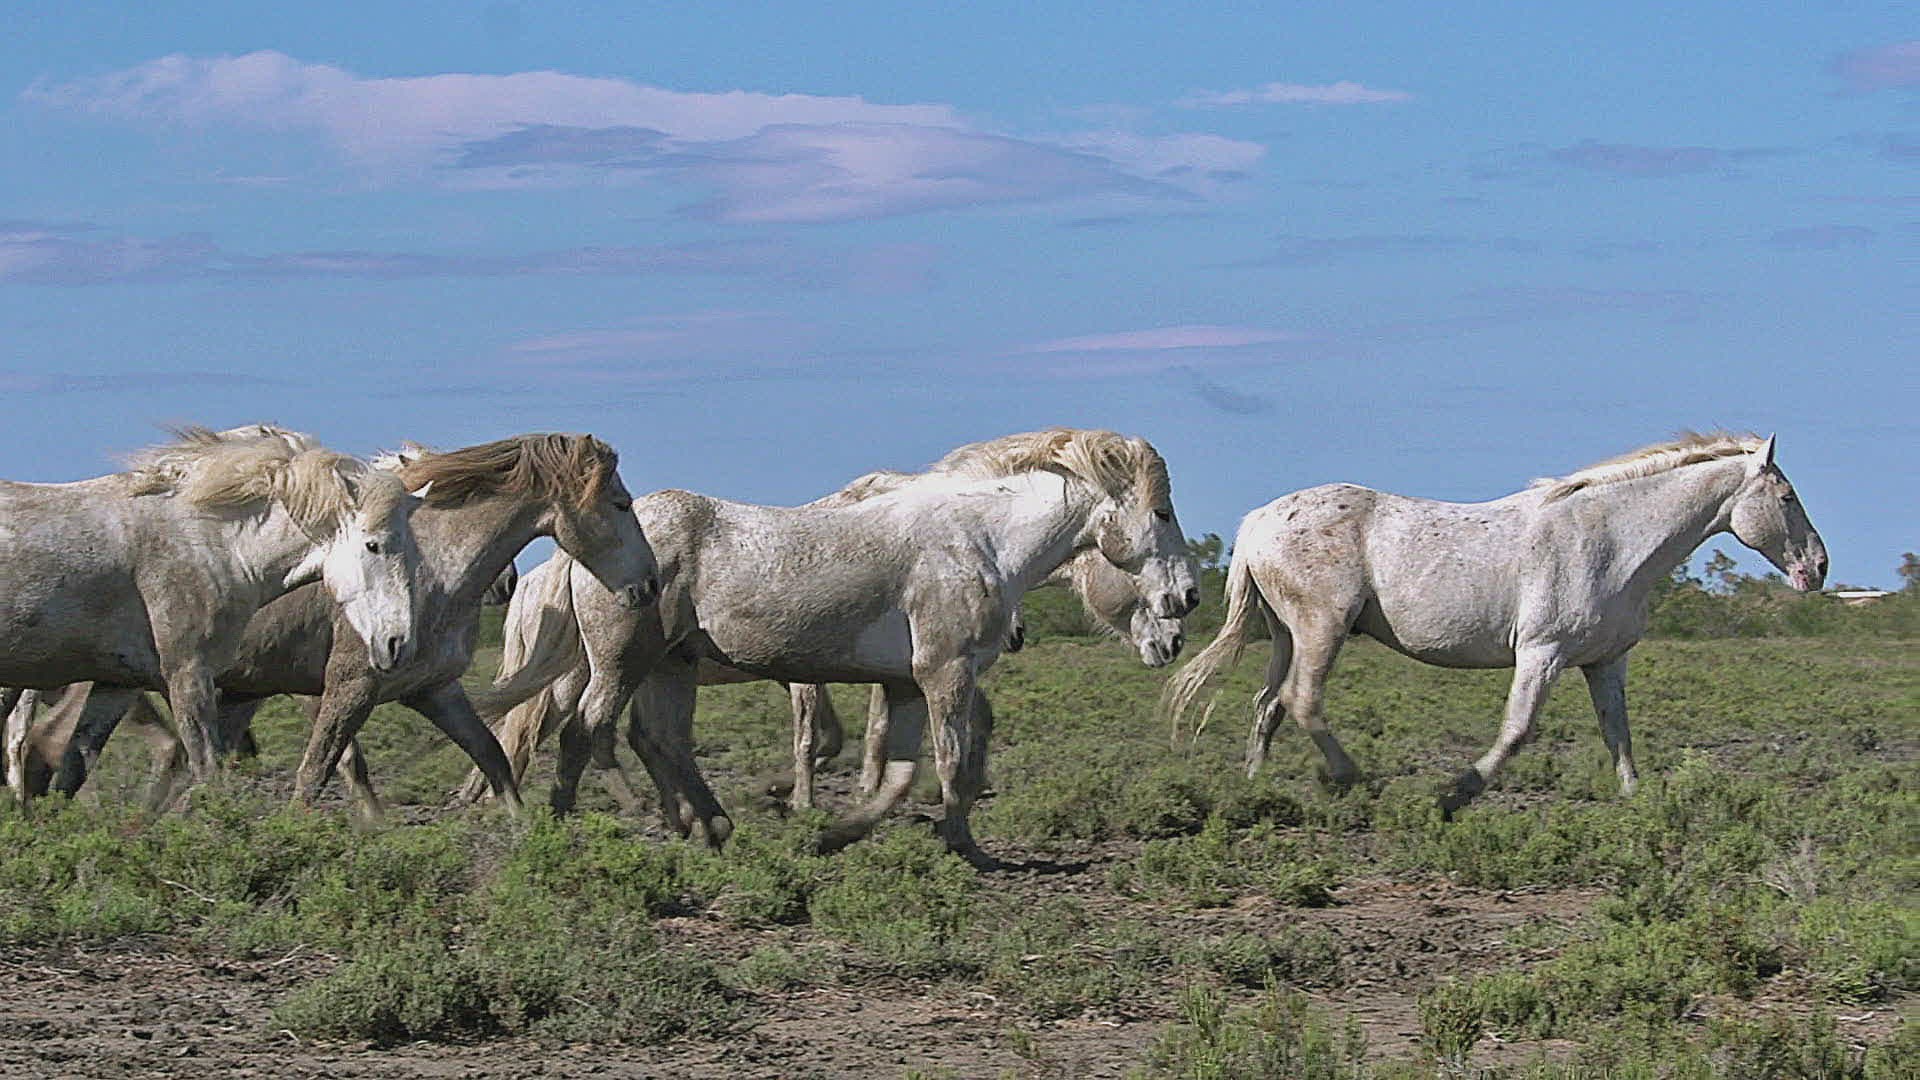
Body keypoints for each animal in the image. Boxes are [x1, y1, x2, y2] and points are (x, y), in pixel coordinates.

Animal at [0, 425, 426, 790]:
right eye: (373, 545)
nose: (397, 643)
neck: (209, 540)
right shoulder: (188, 675)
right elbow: (207, 771)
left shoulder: (117, 685)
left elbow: (74, 770)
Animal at [32, 434, 658, 818]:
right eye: (622, 504)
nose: (648, 587)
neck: (432, 576)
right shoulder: (345, 687)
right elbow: (319, 771)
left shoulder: (433, 691)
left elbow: (494, 761)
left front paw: (528, 839)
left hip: (125, 683)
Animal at [473, 429, 1200, 861]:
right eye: (1162, 512)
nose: (1187, 601)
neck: (977, 540)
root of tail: (584, 557)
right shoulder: (946, 673)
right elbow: (949, 762)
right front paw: (966, 848)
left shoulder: (905, 683)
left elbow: (900, 771)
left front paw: (838, 829)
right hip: (621, 661)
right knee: (585, 732)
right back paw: (597, 825)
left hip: (669, 667)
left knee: (658, 740)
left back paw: (708, 826)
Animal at [1161, 432, 1827, 814]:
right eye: (1788, 497)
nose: (1818, 567)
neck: (1611, 540)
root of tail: (1258, 521)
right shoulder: (1541, 653)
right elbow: (1517, 730)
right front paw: (1455, 794)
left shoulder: (1605, 661)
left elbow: (1618, 733)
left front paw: (1639, 803)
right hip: (1322, 628)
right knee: (1302, 702)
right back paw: (1353, 780)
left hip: (1286, 635)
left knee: (1268, 705)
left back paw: (1255, 788)